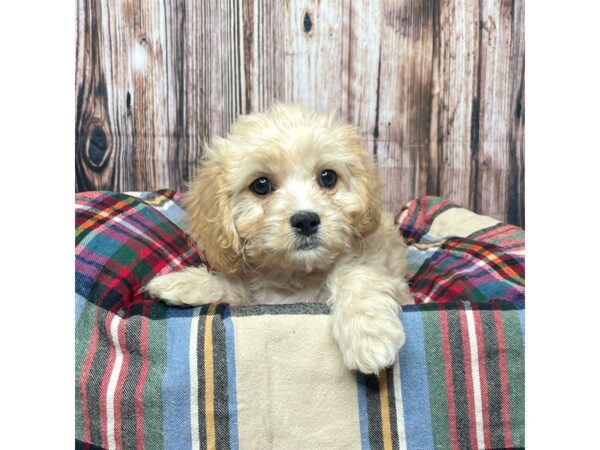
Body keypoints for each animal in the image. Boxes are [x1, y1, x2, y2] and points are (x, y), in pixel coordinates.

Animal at [145, 103, 414, 374]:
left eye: (328, 177)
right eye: (261, 185)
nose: (306, 220)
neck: (298, 274)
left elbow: (356, 273)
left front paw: (369, 336)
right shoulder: (256, 296)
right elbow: (236, 288)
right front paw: (184, 284)